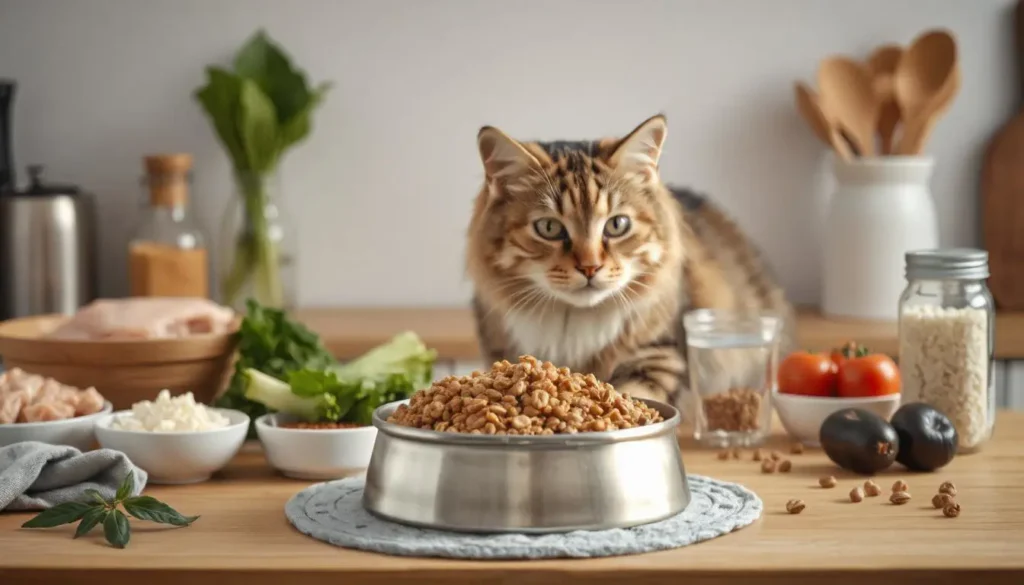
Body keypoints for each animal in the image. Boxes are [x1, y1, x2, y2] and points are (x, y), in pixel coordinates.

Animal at [468, 114, 794, 407]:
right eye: (549, 228)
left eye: (617, 225)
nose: (590, 267)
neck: (572, 321)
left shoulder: (659, 355)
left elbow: (633, 391)